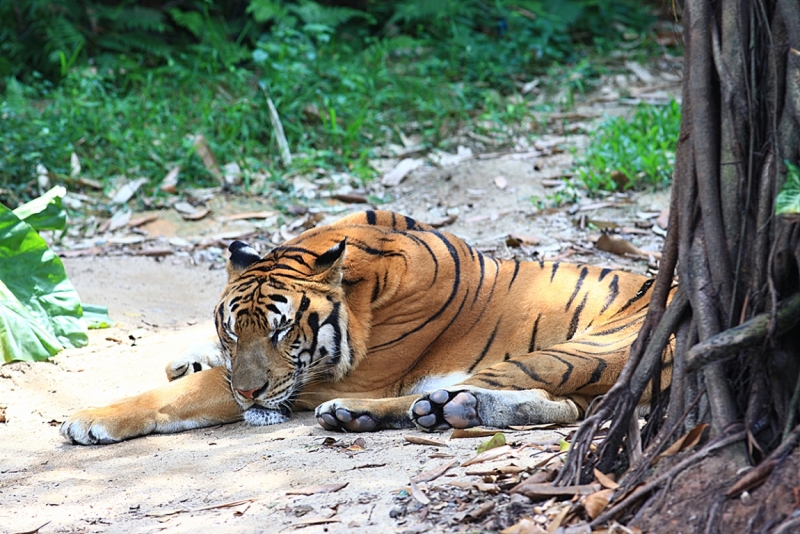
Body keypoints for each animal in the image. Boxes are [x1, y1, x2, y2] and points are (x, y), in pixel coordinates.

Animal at [61, 211, 668, 446]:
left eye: (282, 331)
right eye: (235, 330)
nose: (252, 393)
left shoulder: (331, 377)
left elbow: (190, 392)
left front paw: (90, 419)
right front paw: (189, 356)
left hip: (586, 346)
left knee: (541, 397)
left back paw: (367, 414)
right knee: (563, 405)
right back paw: (447, 410)